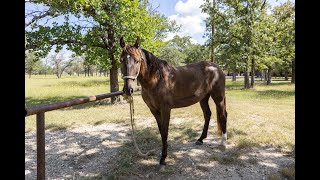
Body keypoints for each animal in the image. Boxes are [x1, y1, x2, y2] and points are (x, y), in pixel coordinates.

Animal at [119, 37, 228, 167]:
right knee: (208, 114)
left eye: (137, 61)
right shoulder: (154, 110)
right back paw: (200, 139)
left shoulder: (165, 109)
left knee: (223, 115)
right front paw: (164, 153)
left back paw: (223, 143)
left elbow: (165, 131)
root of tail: (217, 67)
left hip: (218, 96)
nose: (128, 89)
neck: (157, 79)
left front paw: (163, 159)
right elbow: (161, 131)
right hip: (203, 98)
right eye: (121, 60)